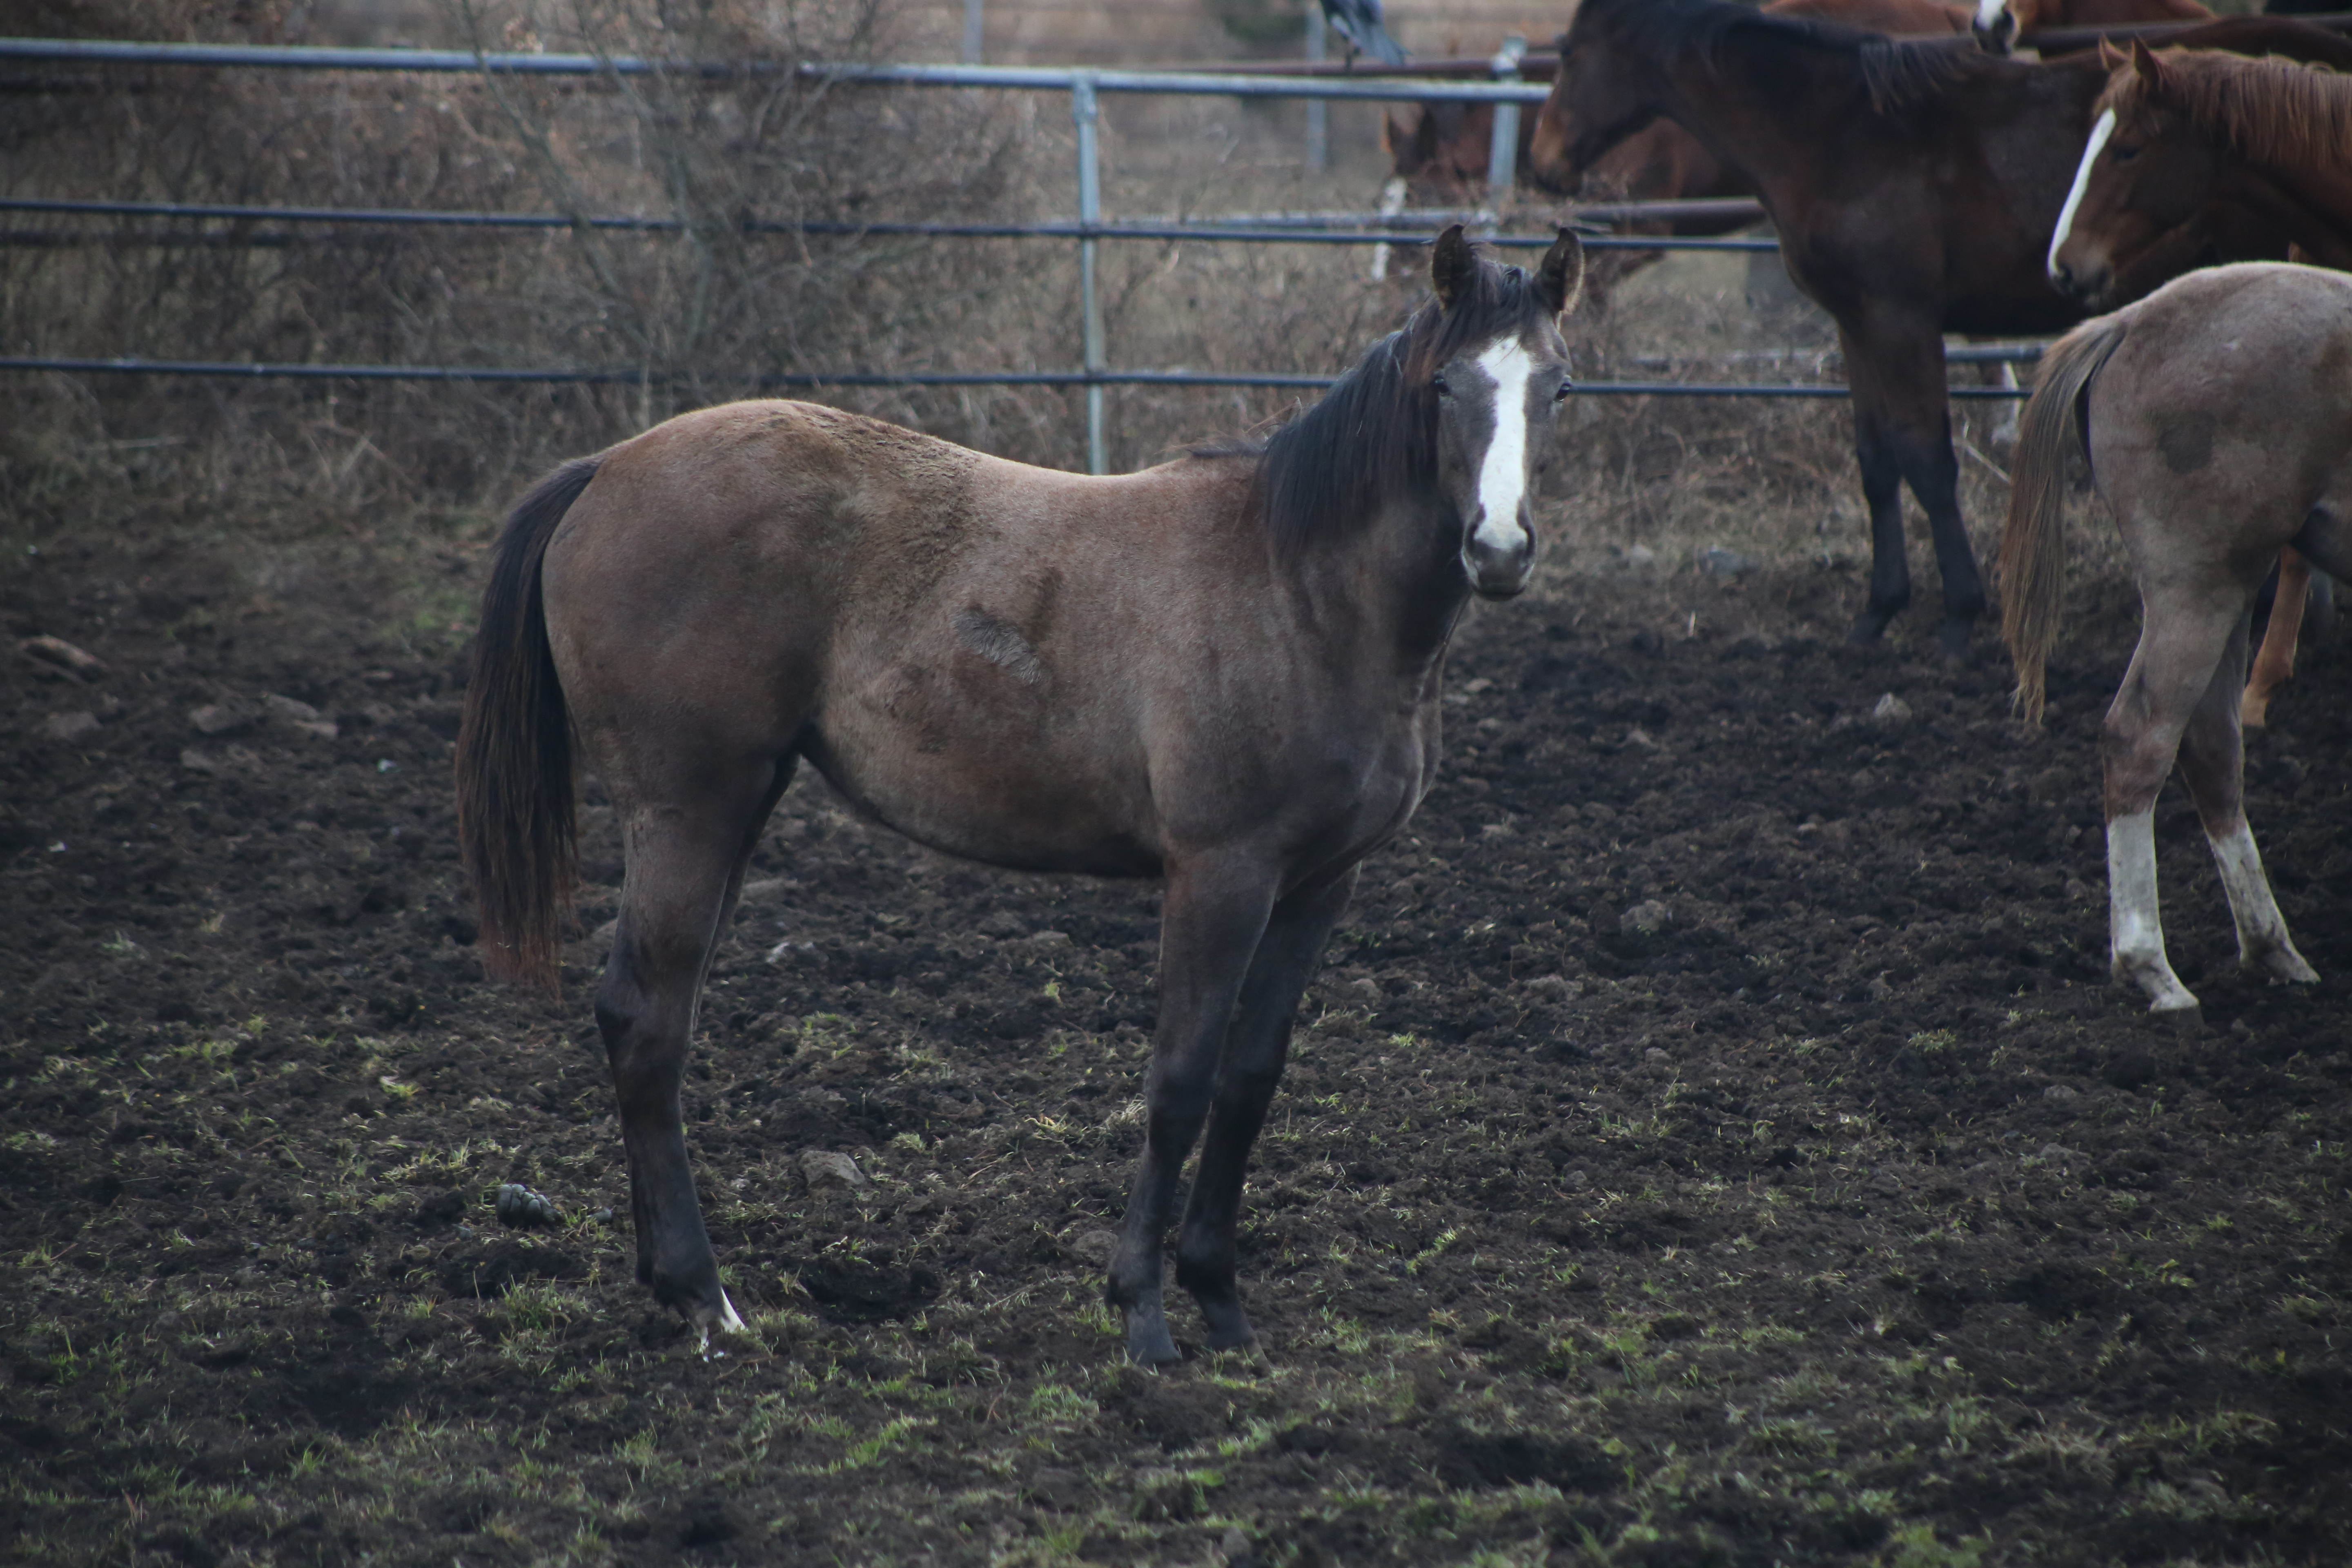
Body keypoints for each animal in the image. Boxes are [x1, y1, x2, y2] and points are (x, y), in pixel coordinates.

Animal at [454, 227, 1599, 1363]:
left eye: (1560, 384)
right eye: (1444, 384)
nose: (1499, 548)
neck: (1296, 589)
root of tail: (605, 469)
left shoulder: (1320, 883)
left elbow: (1248, 1082)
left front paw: (1222, 1306)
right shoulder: (1219, 873)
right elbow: (1180, 1081)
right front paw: (1143, 1315)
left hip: (732, 811)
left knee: (649, 1017)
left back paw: (672, 1284)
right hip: (689, 813)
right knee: (647, 1022)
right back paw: (707, 1297)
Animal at [1533, 0, 2342, 658]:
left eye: (1569, 53)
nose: (1545, 165)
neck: (1838, 132)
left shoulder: (1903, 321)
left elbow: (1927, 460)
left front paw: (1959, 615)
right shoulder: (1857, 325)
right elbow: (1875, 462)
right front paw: (1878, 612)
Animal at [1985, 263, 2352, 1011]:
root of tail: (2126, 323)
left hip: (2232, 587)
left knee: (2211, 745)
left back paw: (2271, 949)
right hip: (2196, 586)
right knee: (2141, 738)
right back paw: (2150, 967)